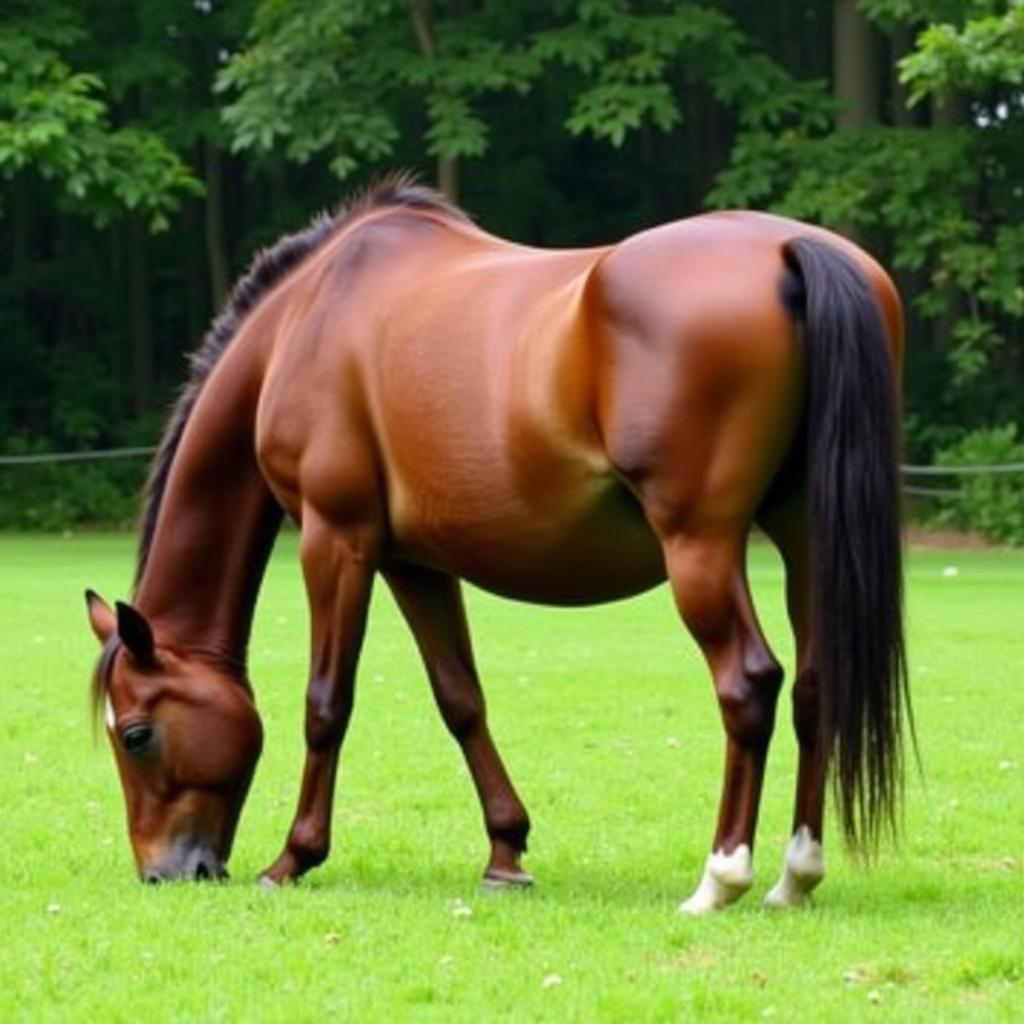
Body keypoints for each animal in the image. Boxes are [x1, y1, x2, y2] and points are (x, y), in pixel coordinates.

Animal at [83, 176, 909, 913]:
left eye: (136, 734)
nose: (167, 872)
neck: (306, 320)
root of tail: (789, 249)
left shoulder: (336, 538)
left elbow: (326, 703)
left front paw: (293, 858)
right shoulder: (413, 561)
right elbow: (461, 699)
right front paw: (506, 854)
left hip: (700, 546)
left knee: (748, 684)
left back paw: (720, 879)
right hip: (803, 535)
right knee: (814, 686)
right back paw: (794, 876)